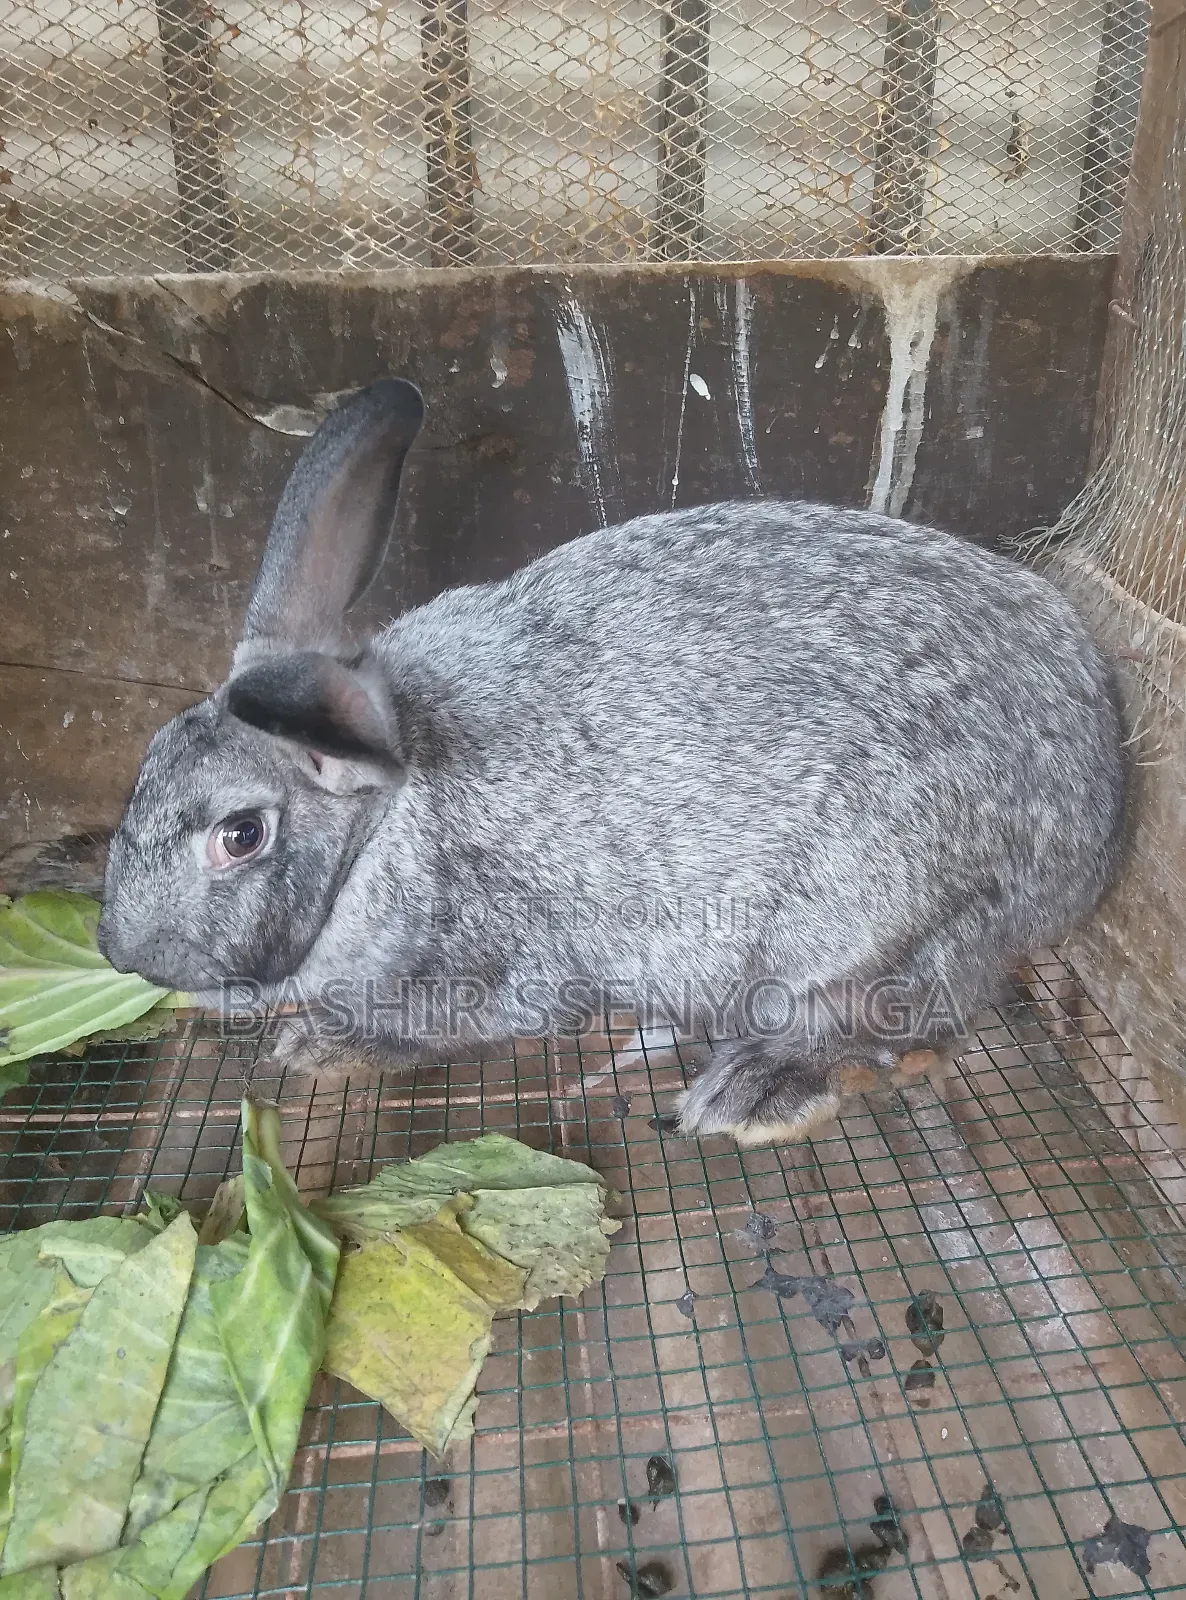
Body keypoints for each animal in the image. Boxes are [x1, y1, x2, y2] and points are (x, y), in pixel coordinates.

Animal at [98, 377, 1127, 1146]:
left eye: (241, 834)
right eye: (144, 766)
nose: (122, 953)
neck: (384, 826)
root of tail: (1095, 815)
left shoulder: (496, 962)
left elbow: (448, 1021)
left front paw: (322, 1046)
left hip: (867, 918)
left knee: (895, 1018)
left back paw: (754, 1092)